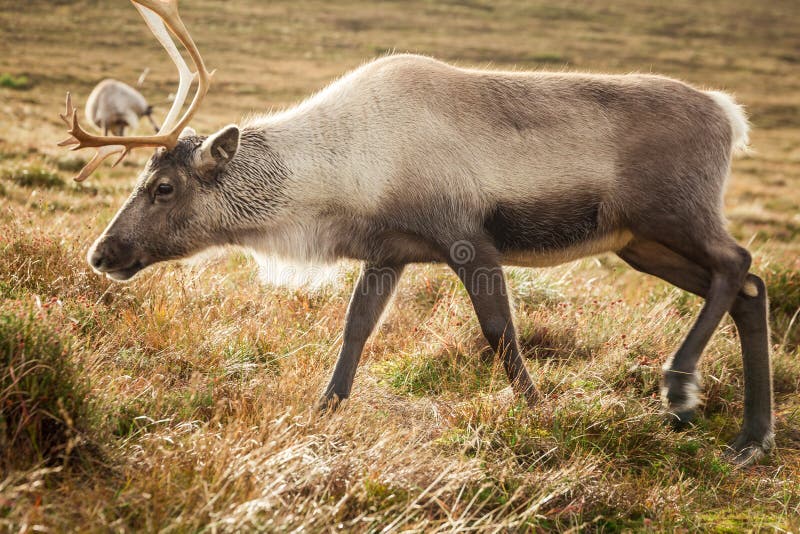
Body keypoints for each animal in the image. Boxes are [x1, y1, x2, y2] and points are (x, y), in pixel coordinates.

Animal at [61, 0, 776, 466]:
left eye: (163, 187)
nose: (102, 253)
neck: (347, 171)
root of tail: (730, 115)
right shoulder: (390, 253)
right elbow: (354, 330)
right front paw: (321, 414)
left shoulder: (468, 239)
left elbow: (499, 334)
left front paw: (539, 416)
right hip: (639, 244)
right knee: (751, 288)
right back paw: (749, 439)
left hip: (674, 215)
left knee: (739, 262)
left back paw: (681, 387)